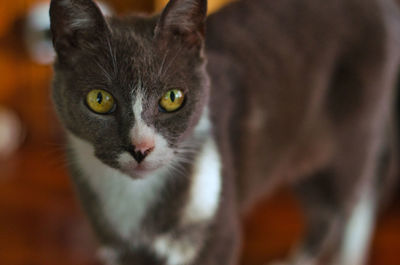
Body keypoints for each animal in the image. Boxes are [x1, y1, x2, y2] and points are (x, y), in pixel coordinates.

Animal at [49, 0, 400, 262]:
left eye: (172, 98)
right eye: (100, 99)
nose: (141, 148)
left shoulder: (219, 234)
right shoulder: (117, 248)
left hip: (352, 135)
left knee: (344, 208)